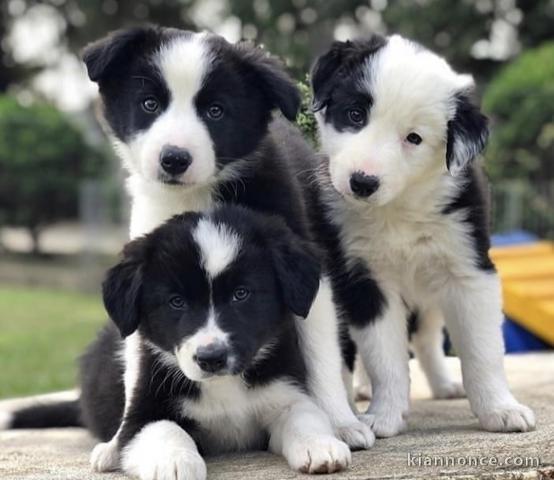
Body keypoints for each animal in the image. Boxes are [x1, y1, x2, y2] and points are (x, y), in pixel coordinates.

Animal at [308, 33, 532, 438]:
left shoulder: (468, 269)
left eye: (413, 138)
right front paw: (384, 416)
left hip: (431, 293)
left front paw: (500, 410)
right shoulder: (364, 279)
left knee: (427, 339)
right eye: (355, 115)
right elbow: (384, 356)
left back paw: (444, 385)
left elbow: (482, 350)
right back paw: (360, 389)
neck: (399, 209)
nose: (362, 182)